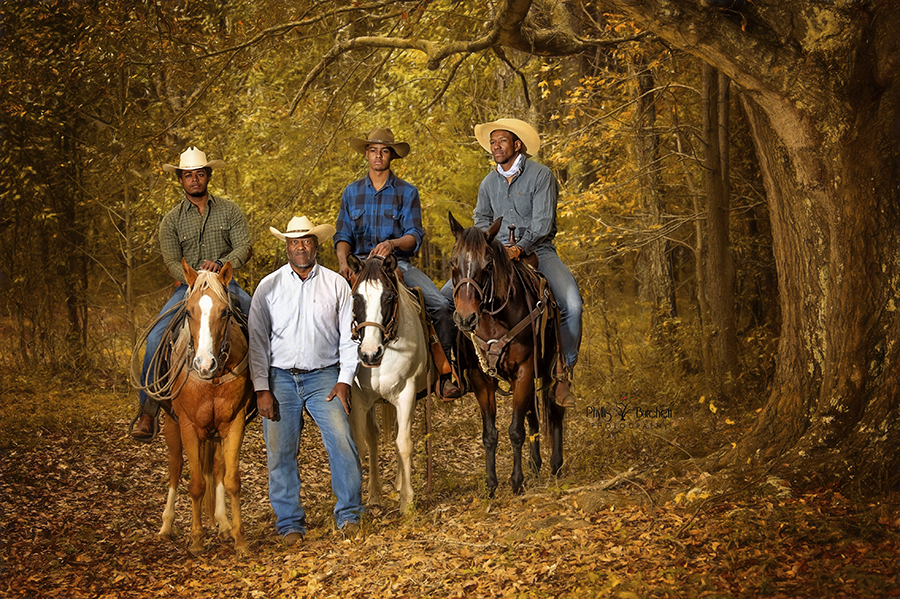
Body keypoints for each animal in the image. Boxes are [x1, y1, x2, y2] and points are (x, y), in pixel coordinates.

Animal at [158, 260, 253, 556]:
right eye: (189, 311)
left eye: (225, 312)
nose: (204, 365)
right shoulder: (188, 426)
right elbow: (197, 484)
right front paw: (197, 539)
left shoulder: (234, 423)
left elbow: (232, 480)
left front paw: (240, 539)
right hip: (172, 424)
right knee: (175, 467)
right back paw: (166, 526)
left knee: (218, 467)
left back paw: (223, 523)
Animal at [344, 253, 432, 510]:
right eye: (356, 297)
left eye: (389, 297)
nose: (369, 354)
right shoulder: (359, 398)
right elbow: (363, 444)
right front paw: (369, 496)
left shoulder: (406, 393)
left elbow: (404, 443)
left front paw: (407, 501)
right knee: (374, 438)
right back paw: (375, 493)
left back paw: (400, 484)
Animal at [448, 213, 568, 494]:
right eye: (453, 262)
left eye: (488, 264)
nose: (466, 319)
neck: (494, 319)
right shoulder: (481, 378)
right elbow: (490, 434)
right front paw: (492, 484)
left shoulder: (524, 370)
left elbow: (515, 430)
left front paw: (516, 481)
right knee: (533, 416)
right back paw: (535, 464)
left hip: (549, 371)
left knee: (554, 408)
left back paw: (556, 465)